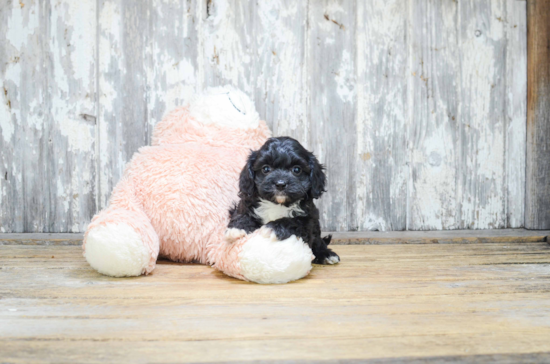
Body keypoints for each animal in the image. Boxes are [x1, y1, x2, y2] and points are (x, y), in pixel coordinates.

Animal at [225, 136, 340, 264]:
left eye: (296, 170)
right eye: (266, 169)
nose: (280, 184)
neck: (277, 204)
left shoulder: (308, 220)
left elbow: (294, 222)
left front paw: (272, 228)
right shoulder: (246, 203)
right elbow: (241, 214)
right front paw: (237, 228)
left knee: (318, 241)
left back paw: (326, 254)